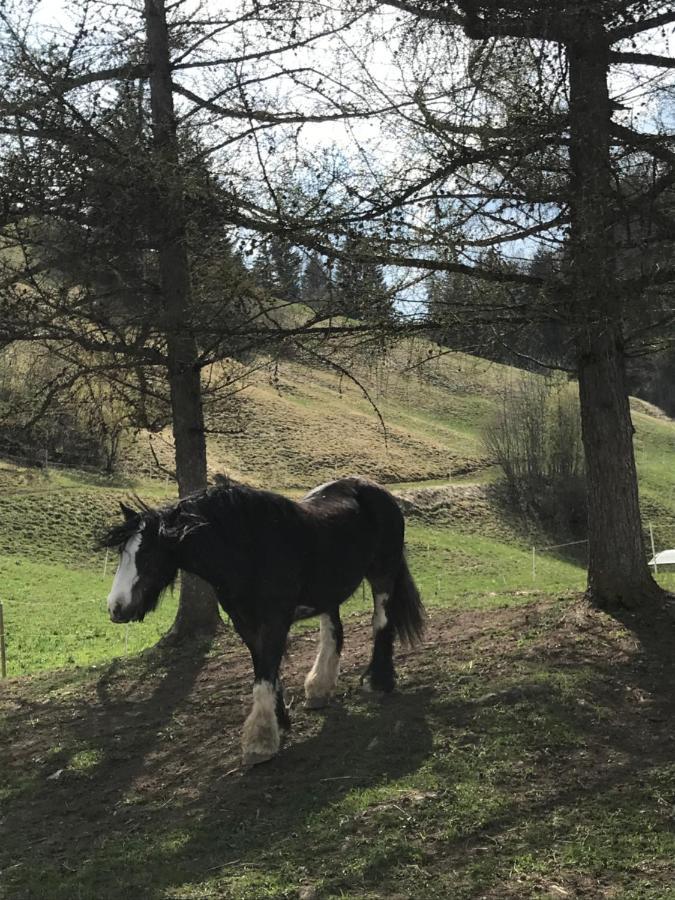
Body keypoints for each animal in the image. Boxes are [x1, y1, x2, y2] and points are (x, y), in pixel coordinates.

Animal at [97, 474, 426, 764]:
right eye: (122, 553)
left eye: (149, 556)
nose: (116, 608)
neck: (247, 550)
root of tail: (376, 490)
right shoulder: (245, 623)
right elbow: (265, 668)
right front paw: (279, 721)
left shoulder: (274, 620)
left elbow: (265, 672)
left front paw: (260, 742)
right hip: (328, 590)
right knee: (333, 631)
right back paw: (319, 688)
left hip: (383, 574)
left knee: (381, 622)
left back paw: (379, 682)